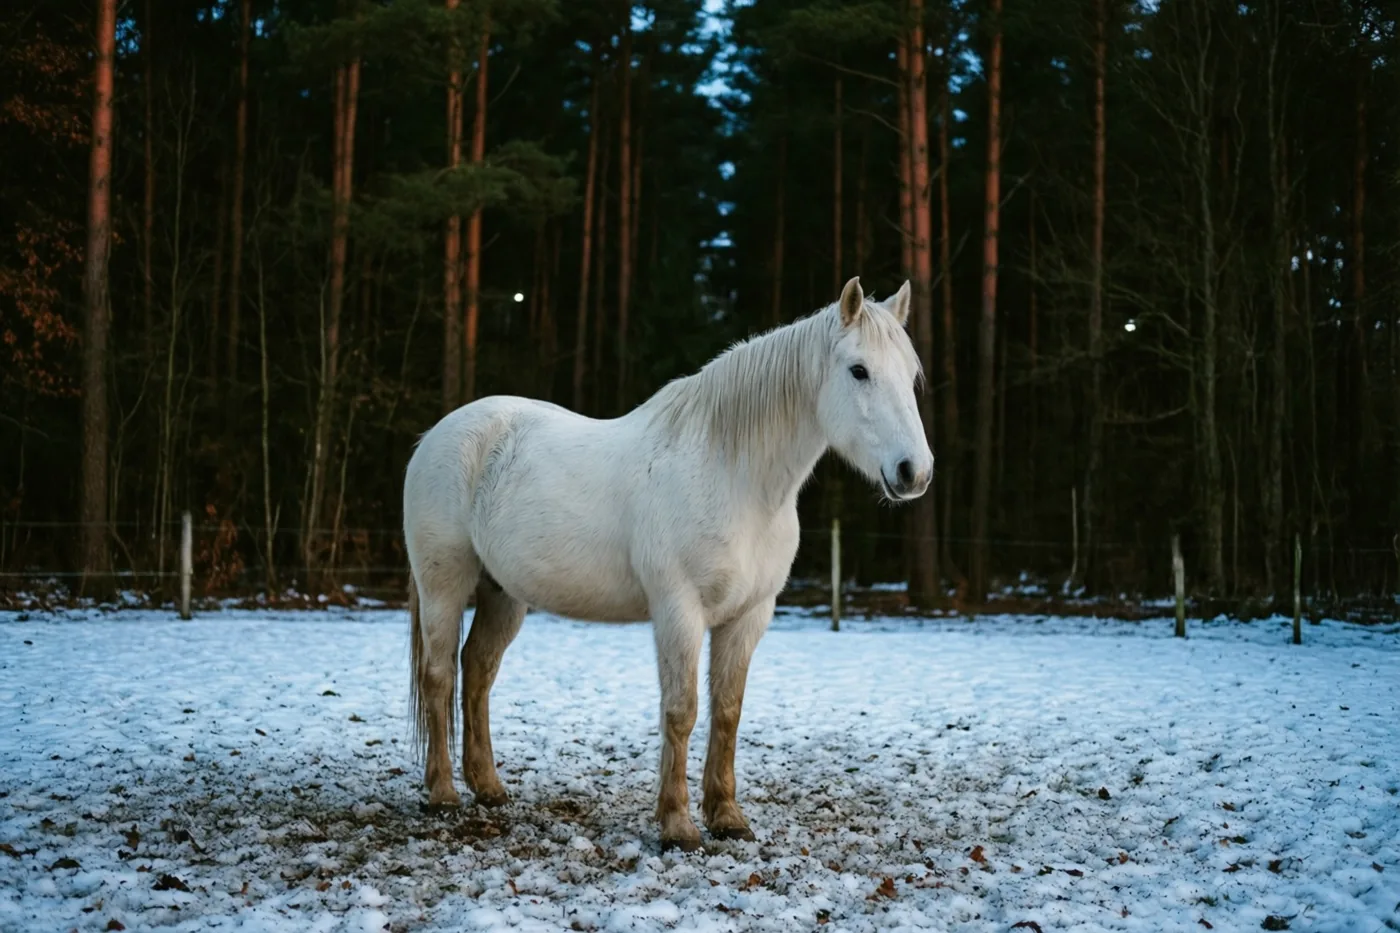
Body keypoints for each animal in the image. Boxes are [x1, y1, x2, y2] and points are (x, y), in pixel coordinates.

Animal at [402, 276, 932, 851]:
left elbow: (727, 712)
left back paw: (489, 787)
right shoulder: (680, 611)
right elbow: (681, 711)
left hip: (503, 593)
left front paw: (727, 817)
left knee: (477, 672)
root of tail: (437, 436)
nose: (915, 472)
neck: (733, 477)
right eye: (858, 370)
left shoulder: (749, 616)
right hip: (444, 585)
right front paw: (678, 825)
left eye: (911, 374)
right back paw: (443, 794)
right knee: (438, 676)